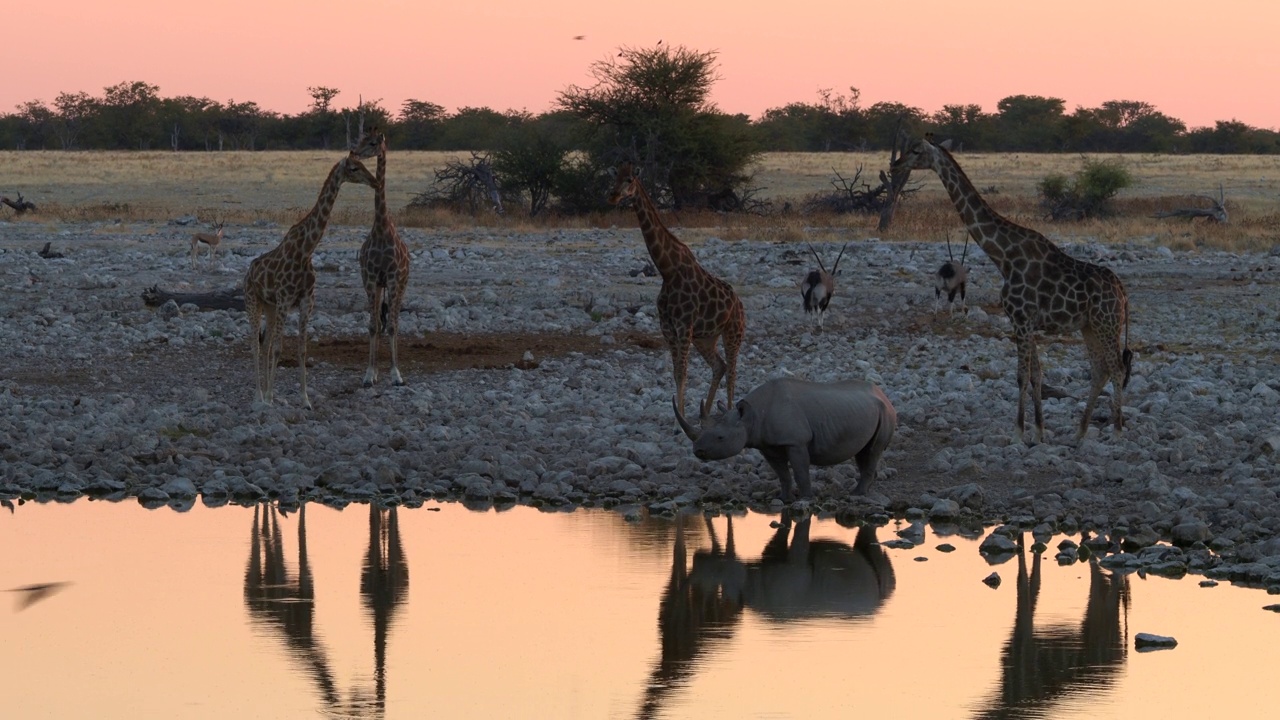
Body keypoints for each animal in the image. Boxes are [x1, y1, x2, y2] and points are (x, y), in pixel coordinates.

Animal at [244, 154, 373, 407]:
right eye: (354, 168)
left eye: (364, 164)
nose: (374, 181)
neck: (306, 250)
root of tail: (247, 275)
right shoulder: (285, 300)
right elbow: (279, 348)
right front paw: (271, 397)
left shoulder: (306, 302)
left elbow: (301, 350)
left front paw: (304, 399)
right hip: (254, 302)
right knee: (255, 344)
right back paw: (258, 396)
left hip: (270, 307)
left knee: (265, 344)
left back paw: (263, 393)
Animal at [609, 161, 747, 420]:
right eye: (615, 177)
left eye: (630, 179)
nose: (613, 195)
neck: (667, 270)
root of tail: (740, 304)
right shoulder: (668, 328)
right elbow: (676, 373)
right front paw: (680, 418)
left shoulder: (683, 327)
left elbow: (683, 372)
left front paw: (678, 421)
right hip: (706, 337)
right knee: (720, 366)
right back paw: (705, 414)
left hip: (733, 332)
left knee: (733, 371)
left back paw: (729, 412)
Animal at [890, 136, 1131, 440]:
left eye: (916, 151)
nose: (895, 166)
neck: (1003, 256)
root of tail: (1122, 291)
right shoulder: (1025, 322)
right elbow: (1036, 375)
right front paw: (1039, 432)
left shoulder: (1022, 320)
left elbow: (1021, 376)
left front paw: (1019, 432)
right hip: (1089, 326)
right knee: (1100, 370)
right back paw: (1079, 434)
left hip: (1107, 323)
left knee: (1117, 368)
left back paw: (1118, 432)